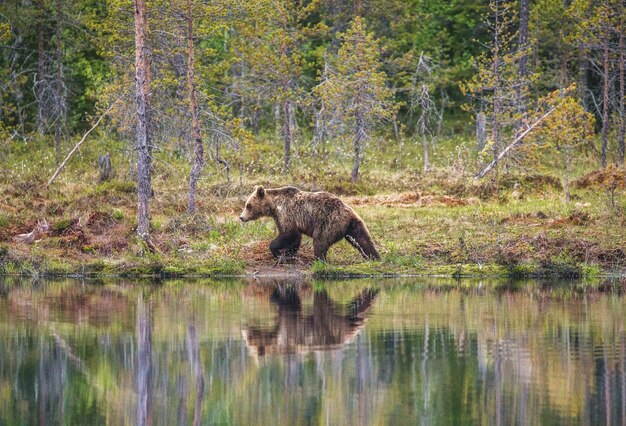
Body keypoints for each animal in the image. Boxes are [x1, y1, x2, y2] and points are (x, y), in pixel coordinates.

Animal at [238, 186, 378, 260]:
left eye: (248, 205)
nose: (241, 217)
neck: (273, 206)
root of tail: (348, 212)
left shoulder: (286, 213)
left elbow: (289, 234)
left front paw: (276, 250)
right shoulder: (280, 217)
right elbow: (294, 238)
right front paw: (289, 253)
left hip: (329, 221)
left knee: (320, 241)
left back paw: (319, 260)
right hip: (354, 225)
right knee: (363, 241)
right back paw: (374, 257)